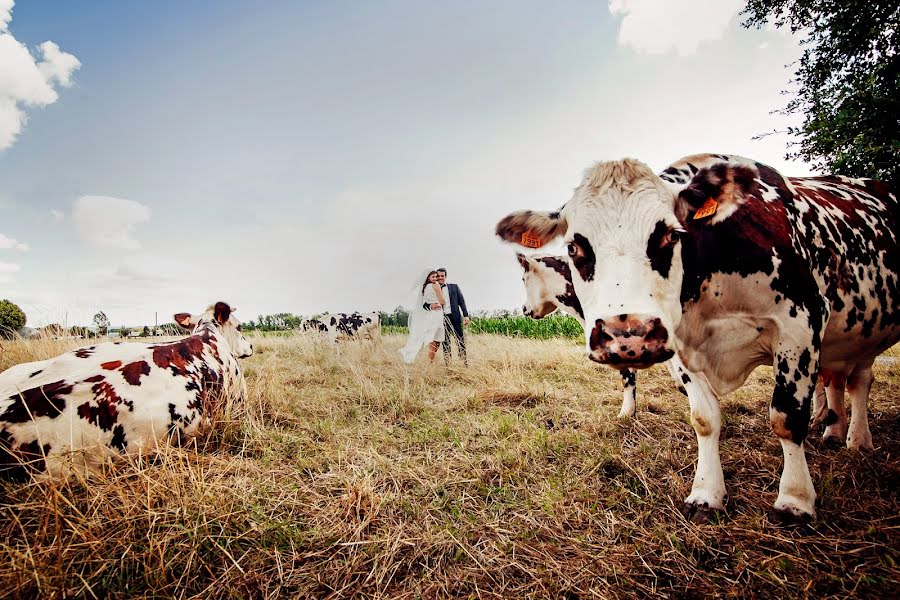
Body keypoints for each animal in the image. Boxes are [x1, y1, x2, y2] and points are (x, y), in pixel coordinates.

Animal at [496, 154, 896, 520]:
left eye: (670, 234)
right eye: (574, 246)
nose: (630, 332)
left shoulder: (801, 323)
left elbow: (787, 417)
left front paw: (795, 500)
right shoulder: (671, 347)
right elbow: (704, 418)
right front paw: (707, 493)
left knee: (858, 382)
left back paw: (856, 440)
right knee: (840, 380)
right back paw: (834, 431)